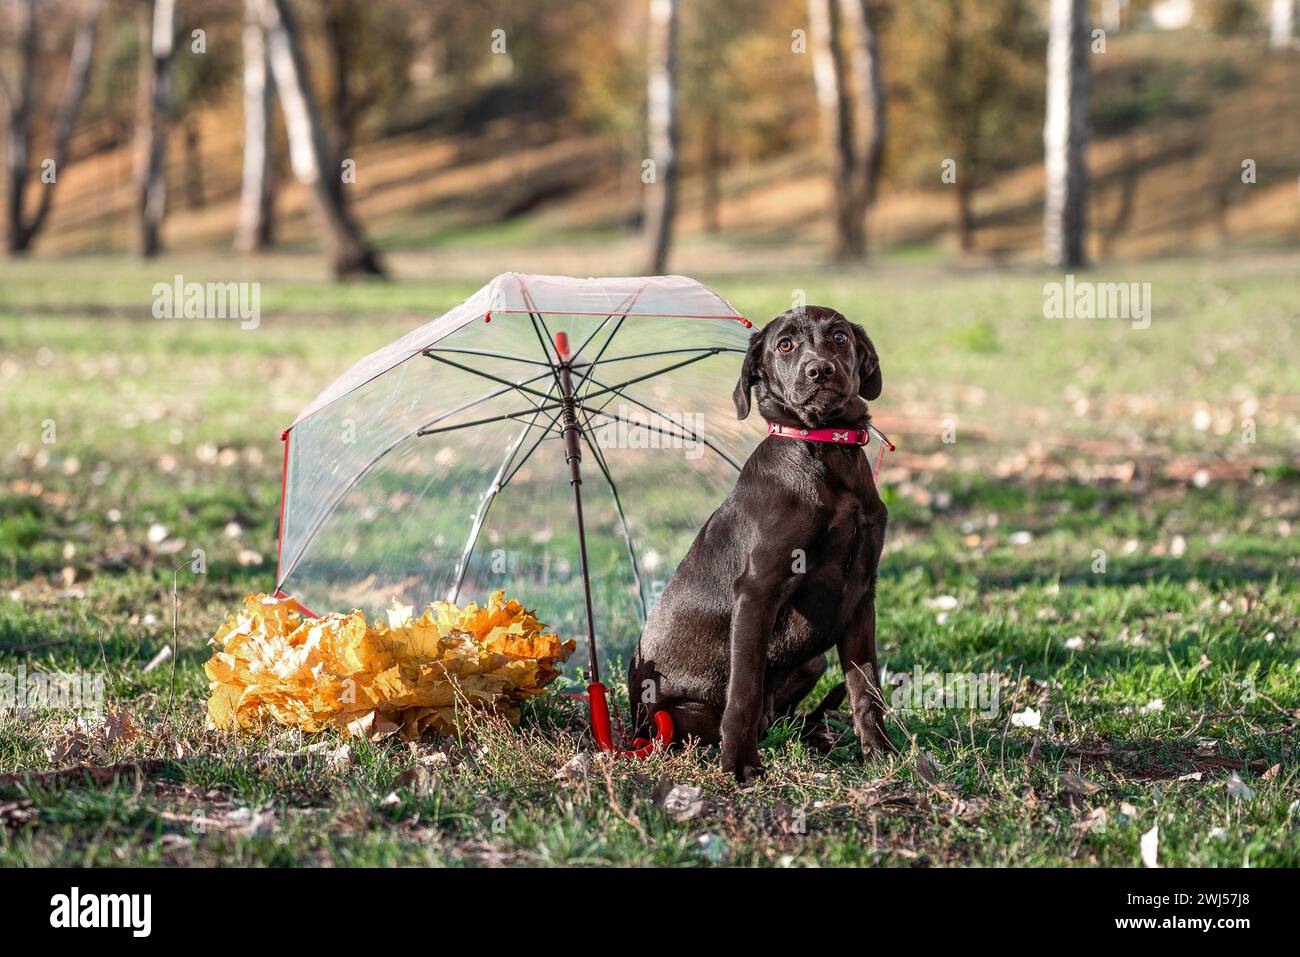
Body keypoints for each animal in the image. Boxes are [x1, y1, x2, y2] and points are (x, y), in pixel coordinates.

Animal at [629, 302, 894, 780]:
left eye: (840, 336)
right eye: (784, 345)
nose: (819, 370)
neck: (824, 449)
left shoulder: (863, 594)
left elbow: (866, 686)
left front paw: (881, 754)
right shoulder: (758, 590)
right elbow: (745, 690)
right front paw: (739, 766)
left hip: (813, 659)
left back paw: (815, 736)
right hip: (676, 715)